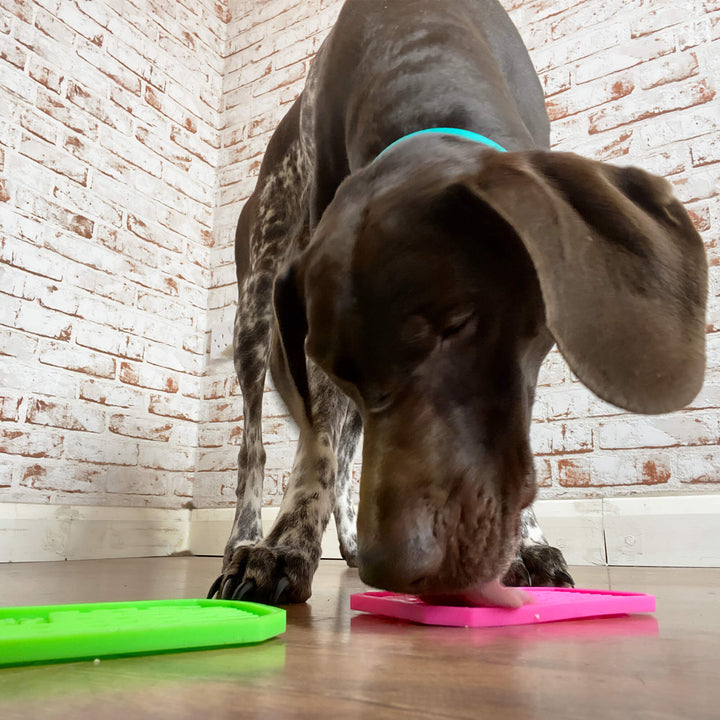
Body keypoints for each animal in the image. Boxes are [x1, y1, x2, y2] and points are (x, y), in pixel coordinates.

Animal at [205, 0, 704, 608]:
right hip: (256, 310)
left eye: (459, 324)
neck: (422, 44)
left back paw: (346, 542)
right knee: (258, 448)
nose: (397, 562)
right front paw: (286, 548)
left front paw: (526, 544)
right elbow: (316, 444)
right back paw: (247, 538)